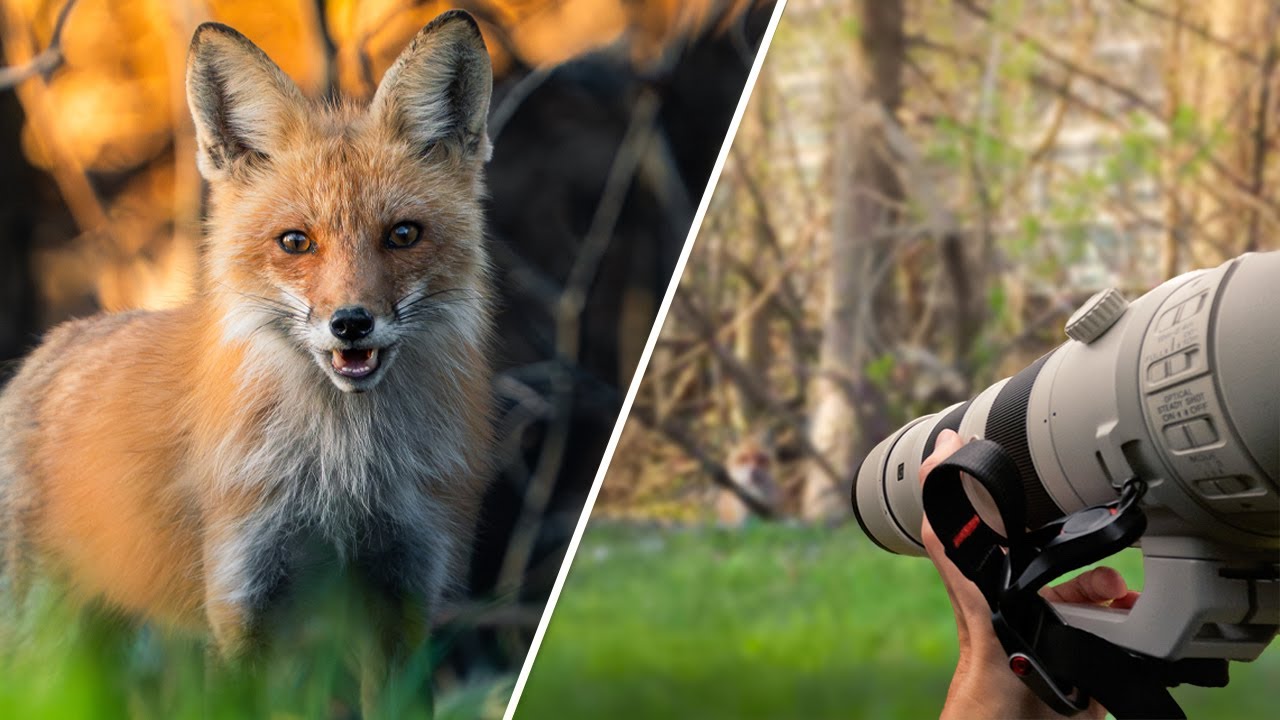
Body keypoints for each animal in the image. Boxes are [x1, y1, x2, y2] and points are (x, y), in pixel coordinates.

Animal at [0, 9, 494, 696]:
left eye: (402, 235)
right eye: (295, 242)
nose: (351, 324)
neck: (344, 478)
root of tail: (48, 348)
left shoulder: (402, 594)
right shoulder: (241, 595)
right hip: (43, 637)